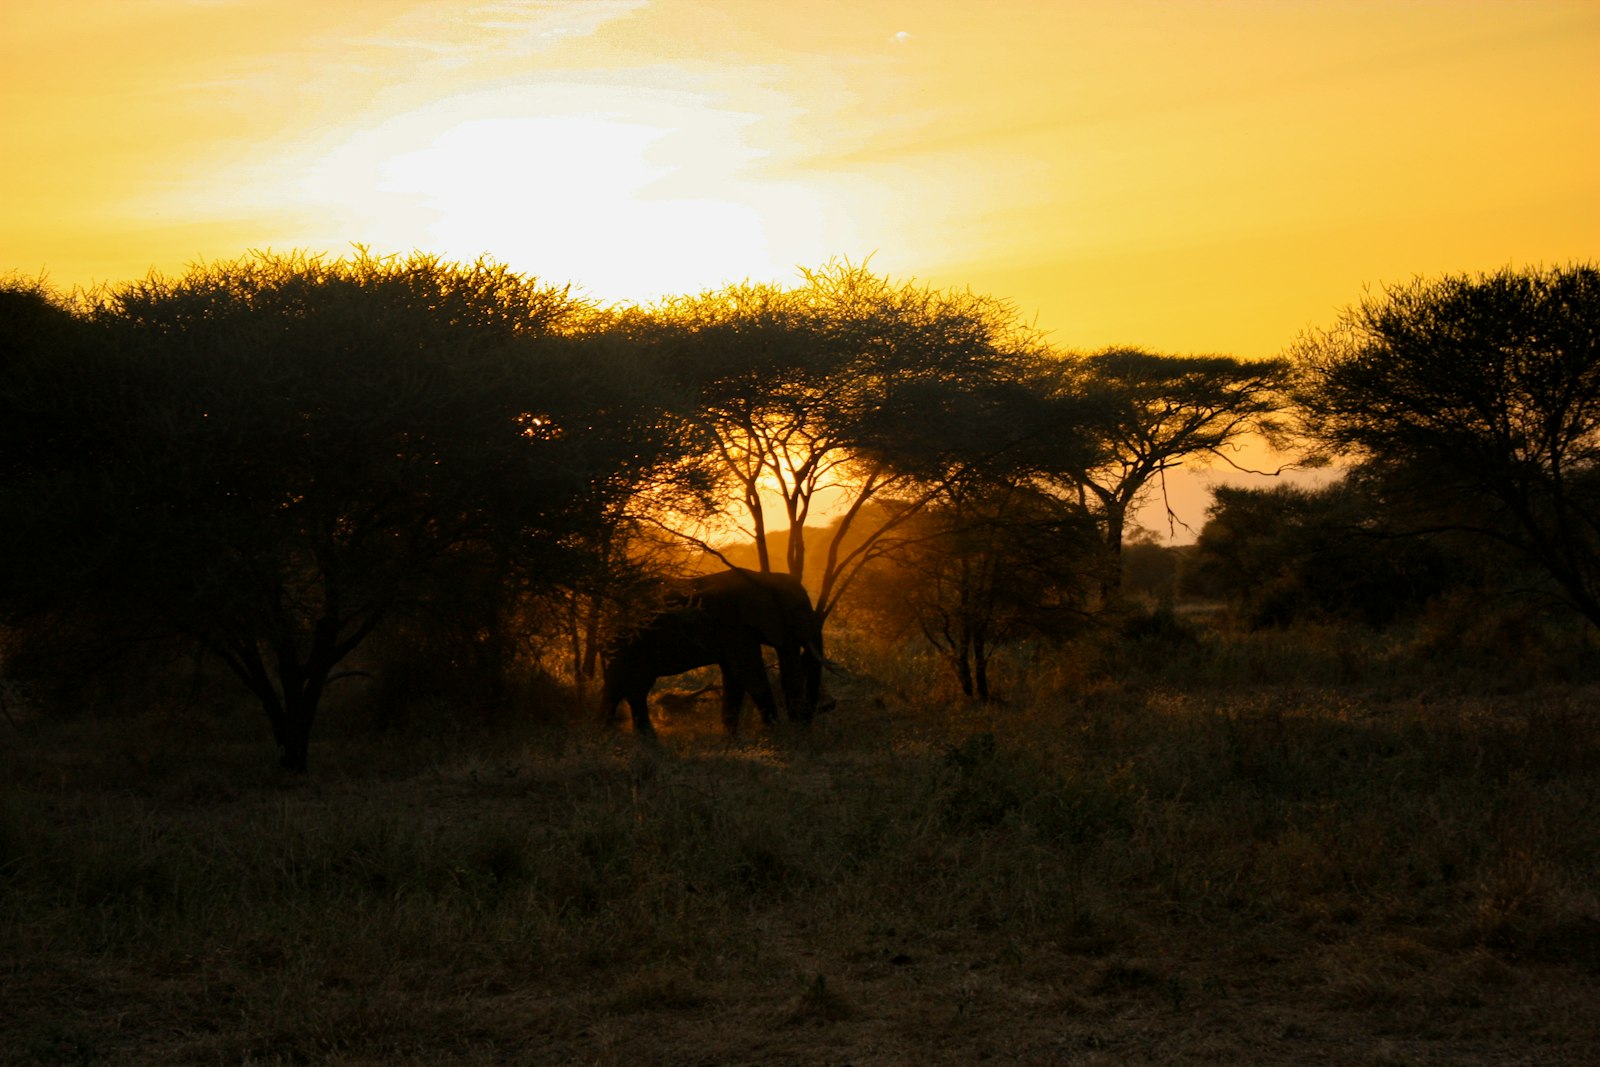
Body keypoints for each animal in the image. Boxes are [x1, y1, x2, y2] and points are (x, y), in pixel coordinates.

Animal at [601, 567, 827, 742]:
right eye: (796, 610)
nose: (804, 725)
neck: (763, 578)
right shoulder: (734, 628)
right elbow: (749, 674)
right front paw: (777, 733)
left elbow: (735, 678)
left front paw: (734, 740)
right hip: (632, 645)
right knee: (637, 688)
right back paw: (648, 743)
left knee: (615, 688)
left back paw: (606, 736)